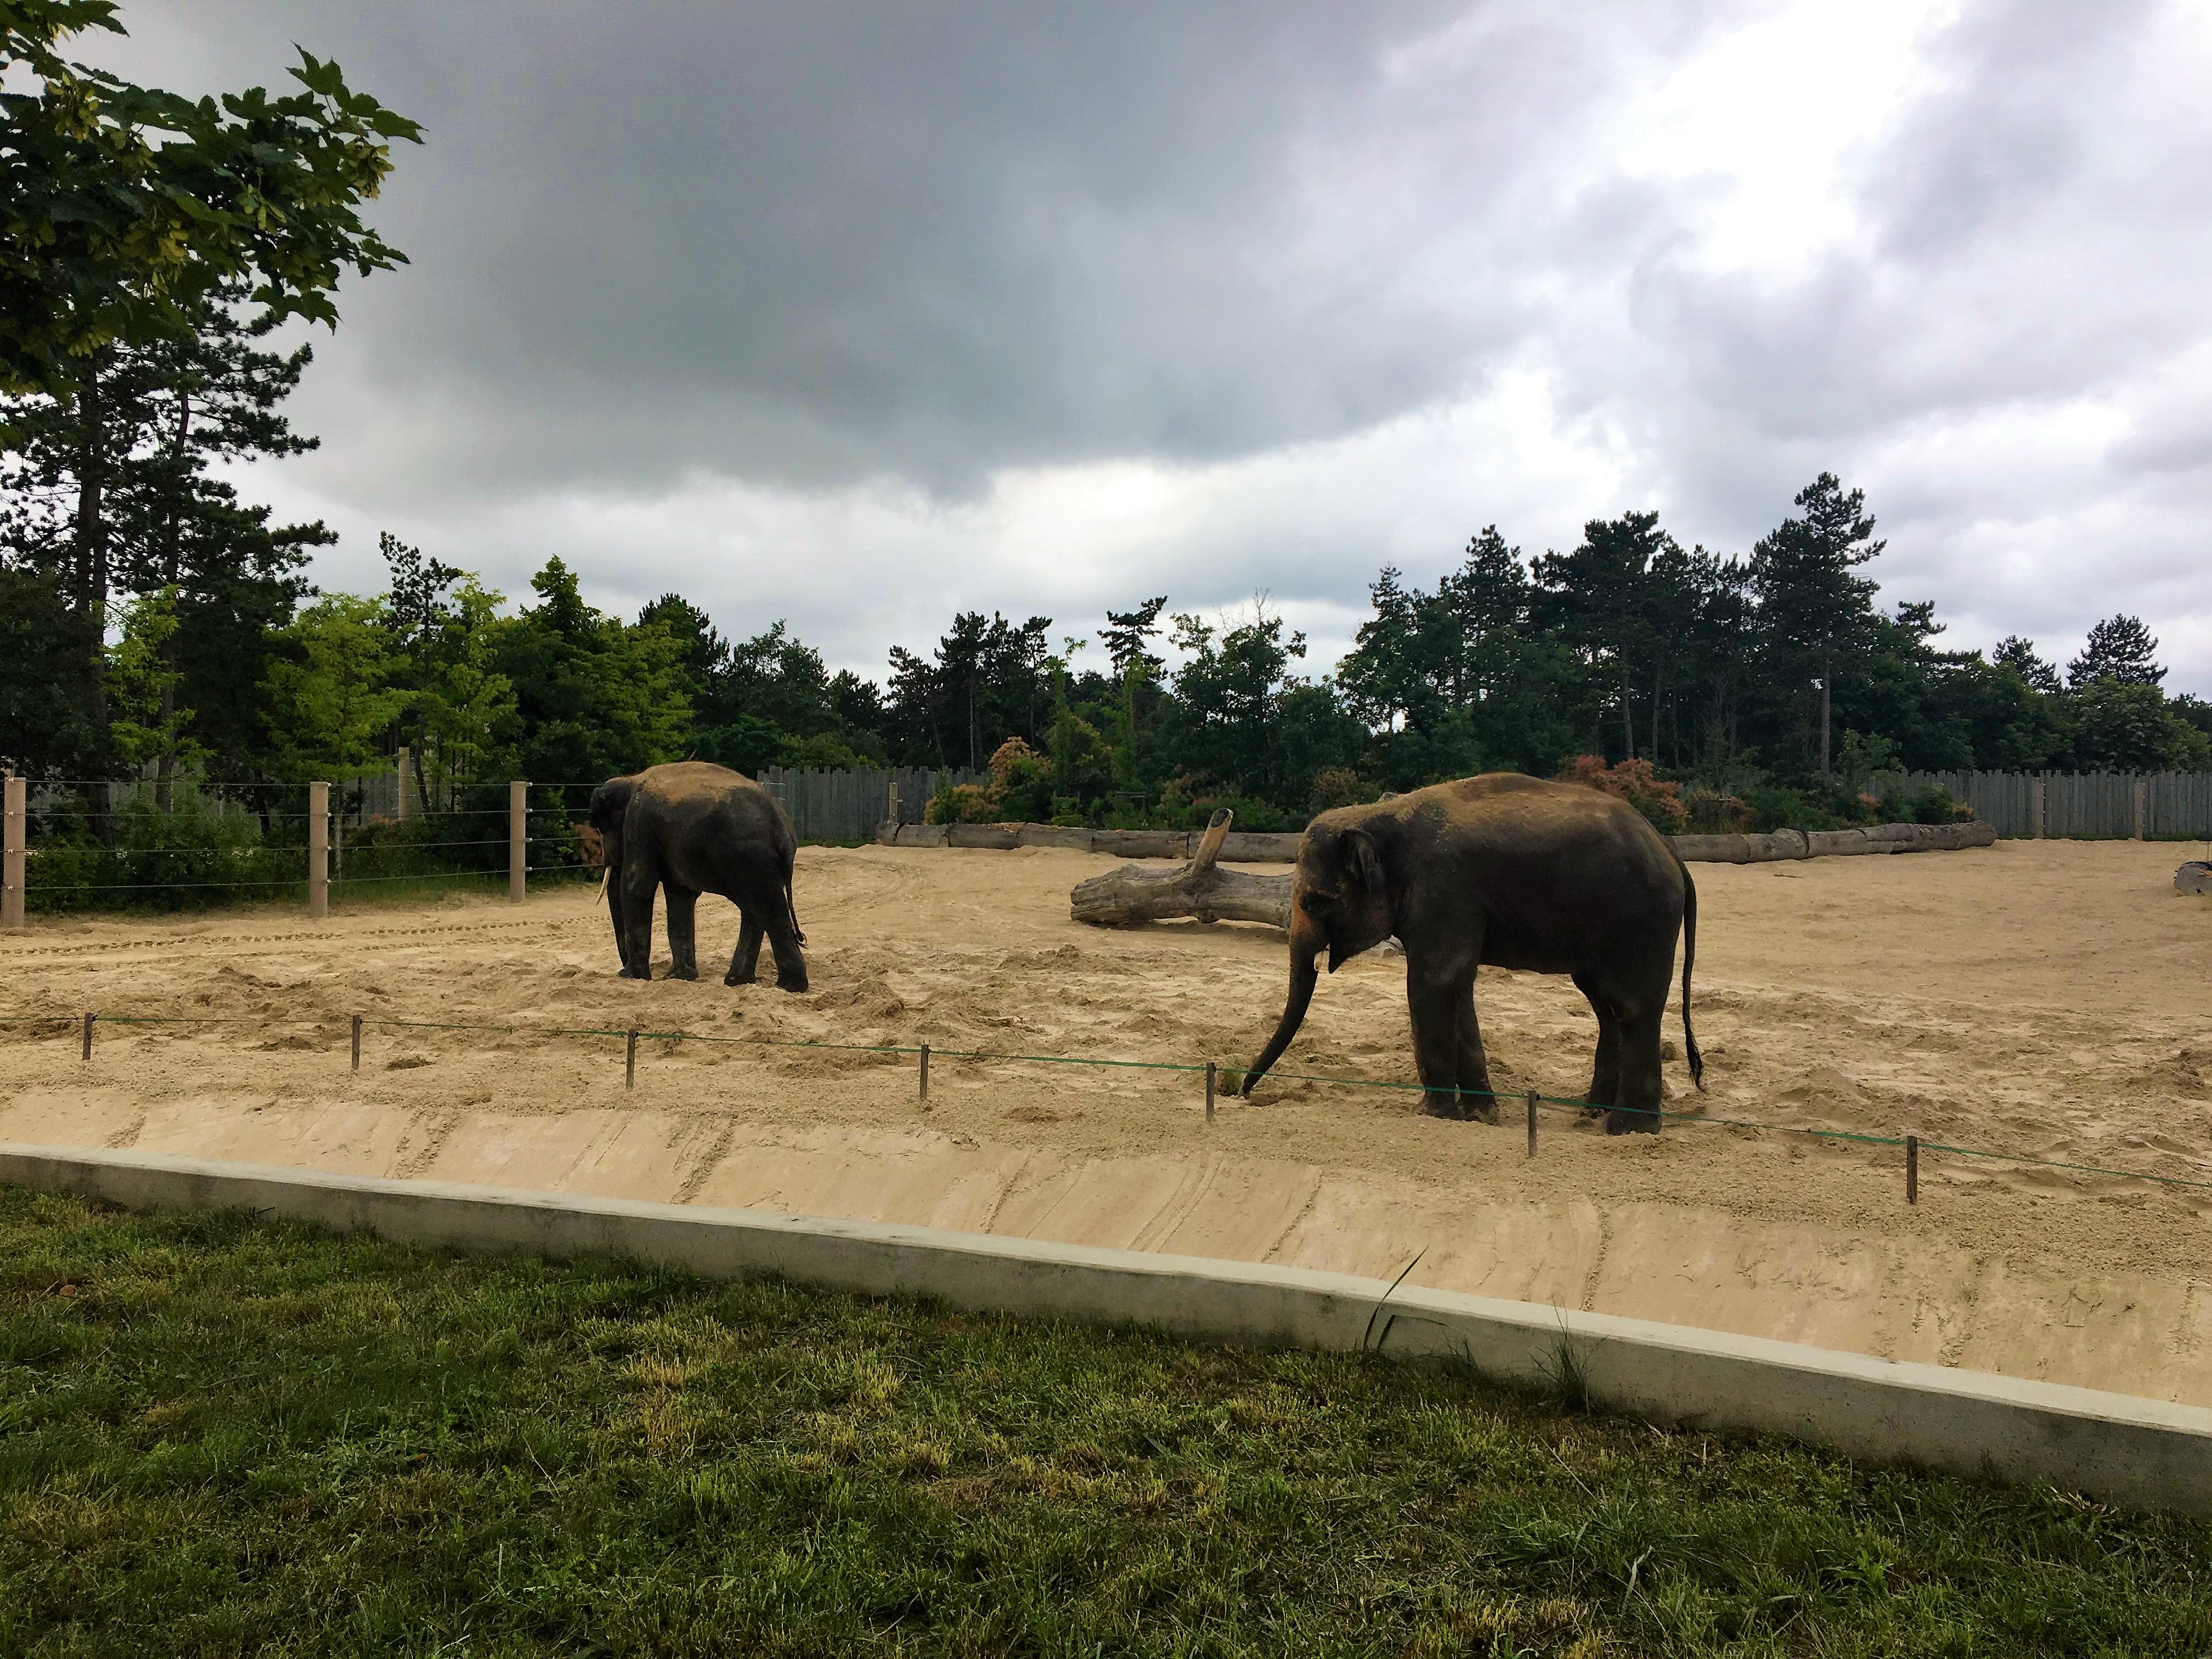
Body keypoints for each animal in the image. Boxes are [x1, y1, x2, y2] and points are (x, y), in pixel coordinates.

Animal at [588, 765, 814, 995]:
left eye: (602, 828)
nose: (623, 969)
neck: (631, 779)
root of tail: (782, 827)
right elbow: (680, 893)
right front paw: (680, 977)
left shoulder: (639, 821)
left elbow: (638, 886)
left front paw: (633, 977)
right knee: (755, 910)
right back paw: (738, 981)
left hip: (750, 857)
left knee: (767, 909)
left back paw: (789, 987)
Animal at [1256, 774, 1699, 1141]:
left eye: (1313, 902)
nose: (1246, 1092)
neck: (1380, 814)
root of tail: (1673, 854)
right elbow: (1457, 986)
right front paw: (1481, 1115)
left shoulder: (1444, 890)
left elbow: (1434, 981)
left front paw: (1431, 1113)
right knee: (1604, 1004)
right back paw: (1590, 1114)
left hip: (1641, 922)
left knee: (1632, 1007)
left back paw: (1627, 1129)